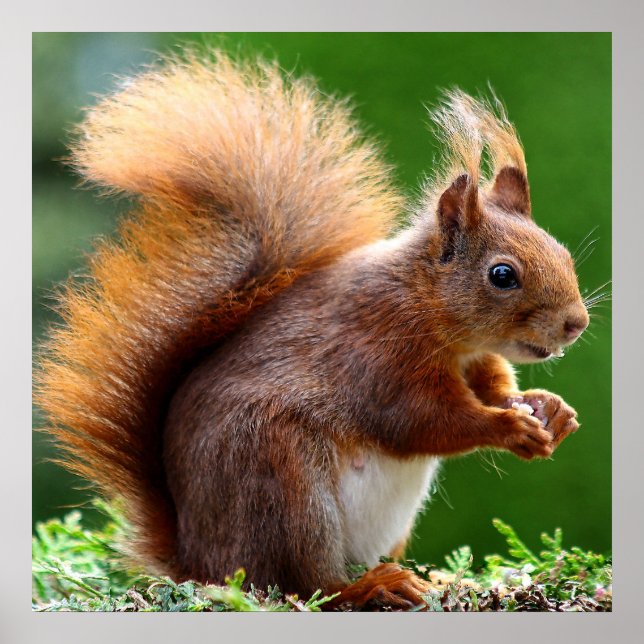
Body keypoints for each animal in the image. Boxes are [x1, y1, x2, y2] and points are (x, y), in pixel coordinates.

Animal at [36, 50, 590, 610]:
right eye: (503, 275)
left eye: (562, 253)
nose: (576, 323)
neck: (432, 310)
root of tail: (198, 559)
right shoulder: (378, 352)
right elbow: (422, 421)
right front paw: (509, 427)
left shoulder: (475, 358)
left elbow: (493, 387)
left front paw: (549, 409)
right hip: (283, 486)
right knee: (304, 583)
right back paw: (373, 586)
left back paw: (434, 579)